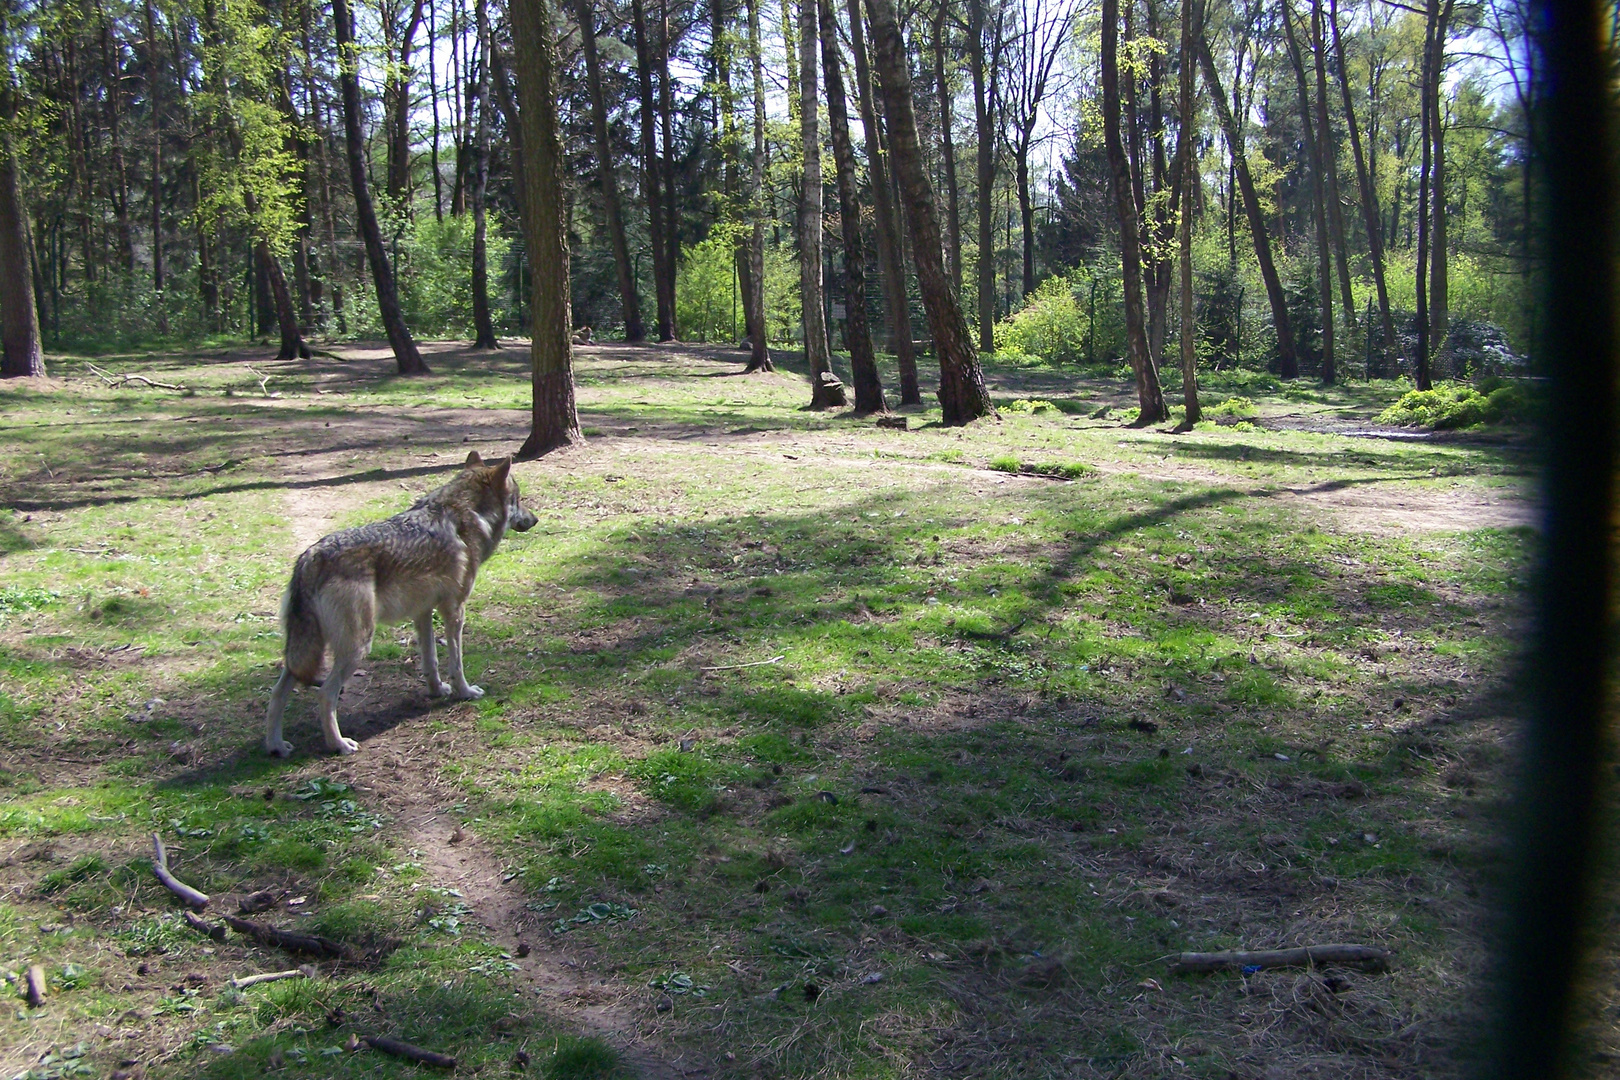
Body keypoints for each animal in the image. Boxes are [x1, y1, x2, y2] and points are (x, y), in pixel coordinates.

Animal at [264, 453, 537, 757]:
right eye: (518, 499)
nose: (535, 519)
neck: (468, 513)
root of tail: (311, 557)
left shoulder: (423, 612)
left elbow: (430, 660)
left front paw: (437, 690)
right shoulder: (454, 610)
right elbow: (456, 663)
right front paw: (464, 692)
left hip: (305, 650)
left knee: (277, 692)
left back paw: (276, 745)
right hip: (357, 646)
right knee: (325, 694)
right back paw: (340, 744)